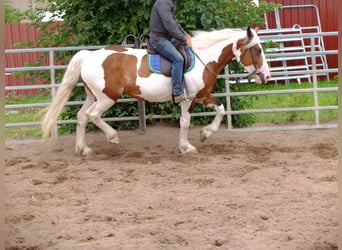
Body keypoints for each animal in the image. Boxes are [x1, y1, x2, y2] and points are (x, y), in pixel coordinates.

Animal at [40, 26, 270, 155]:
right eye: (258, 50)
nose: (266, 77)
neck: (203, 59)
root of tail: (89, 55)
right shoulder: (188, 100)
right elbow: (185, 122)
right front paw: (187, 146)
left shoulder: (203, 96)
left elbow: (221, 110)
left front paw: (205, 134)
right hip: (107, 98)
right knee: (92, 115)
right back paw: (112, 136)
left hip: (93, 95)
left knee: (81, 117)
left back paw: (83, 149)